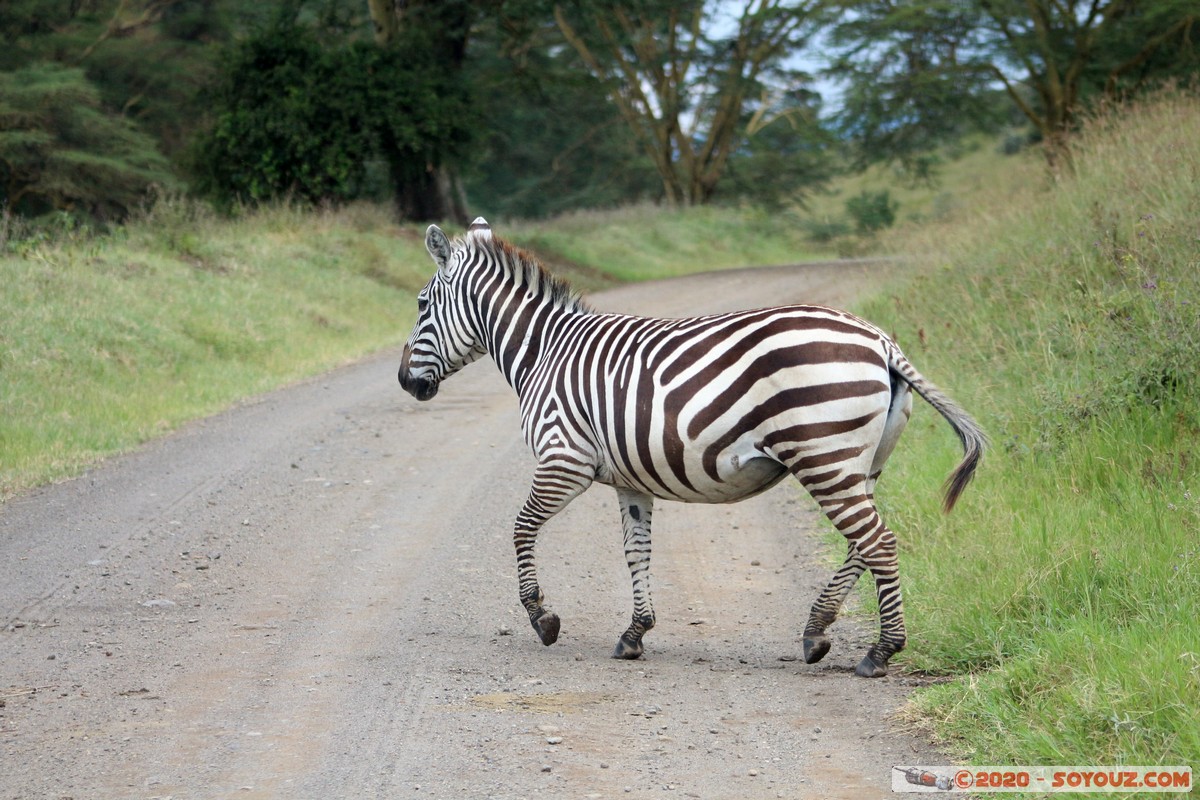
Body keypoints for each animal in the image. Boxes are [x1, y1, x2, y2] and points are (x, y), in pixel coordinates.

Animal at [398, 217, 988, 676]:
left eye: (422, 304)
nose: (405, 382)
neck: (545, 350)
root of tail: (881, 341)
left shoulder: (564, 459)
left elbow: (521, 527)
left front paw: (542, 619)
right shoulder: (629, 480)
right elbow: (636, 550)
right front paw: (635, 633)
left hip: (823, 456)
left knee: (879, 543)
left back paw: (880, 652)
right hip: (861, 462)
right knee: (862, 546)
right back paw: (816, 632)